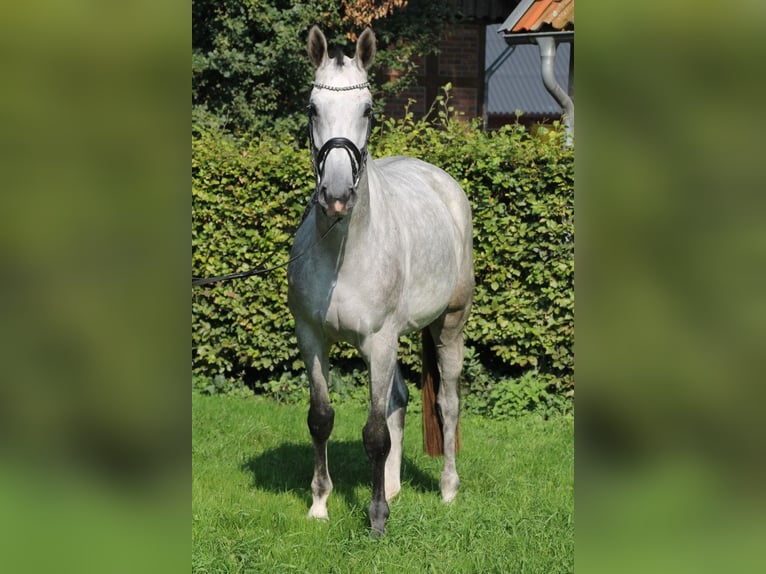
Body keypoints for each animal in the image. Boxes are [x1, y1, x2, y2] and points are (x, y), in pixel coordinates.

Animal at [287, 26, 474, 536]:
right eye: (312, 108)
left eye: (368, 109)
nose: (335, 195)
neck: (343, 251)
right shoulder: (312, 338)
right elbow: (321, 418)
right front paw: (320, 504)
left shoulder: (380, 342)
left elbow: (373, 433)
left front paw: (376, 520)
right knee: (400, 400)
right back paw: (391, 487)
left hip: (449, 326)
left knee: (448, 403)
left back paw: (448, 490)